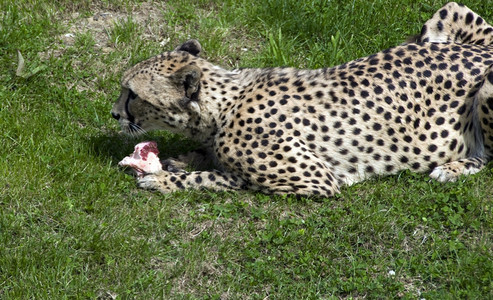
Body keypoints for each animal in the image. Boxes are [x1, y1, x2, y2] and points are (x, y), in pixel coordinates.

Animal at [110, 2, 492, 199]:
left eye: (133, 94)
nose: (114, 114)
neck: (223, 106)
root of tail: (483, 53)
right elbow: (206, 157)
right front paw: (182, 159)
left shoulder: (314, 179)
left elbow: (220, 177)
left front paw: (165, 179)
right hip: (443, 17)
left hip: (486, 89)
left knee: (488, 156)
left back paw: (453, 168)